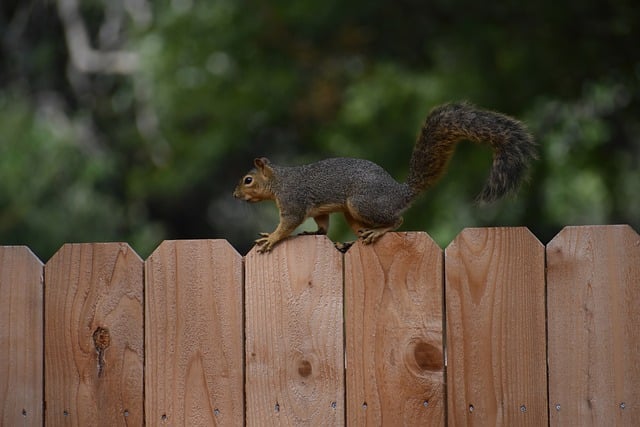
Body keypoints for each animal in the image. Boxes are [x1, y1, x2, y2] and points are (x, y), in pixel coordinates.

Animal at [234, 102, 536, 252]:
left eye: (248, 180)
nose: (235, 195)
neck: (278, 180)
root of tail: (401, 192)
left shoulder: (292, 200)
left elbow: (289, 224)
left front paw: (271, 238)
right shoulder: (318, 209)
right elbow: (322, 226)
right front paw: (311, 233)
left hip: (363, 203)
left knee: (397, 221)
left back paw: (378, 231)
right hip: (352, 212)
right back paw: (351, 241)